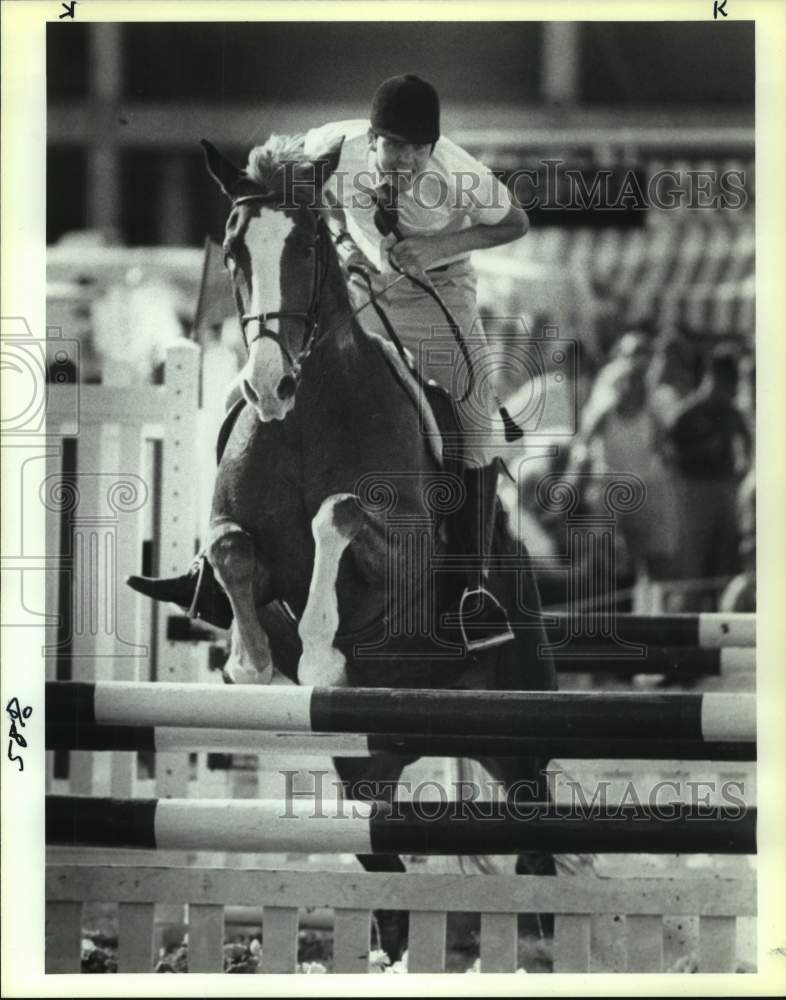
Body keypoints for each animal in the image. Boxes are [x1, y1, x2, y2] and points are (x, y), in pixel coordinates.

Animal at [199, 135, 560, 960]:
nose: (267, 385)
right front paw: (252, 663)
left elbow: (337, 514)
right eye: (234, 251)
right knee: (384, 853)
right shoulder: (228, 527)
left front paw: (320, 655)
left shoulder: (405, 552)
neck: (306, 413)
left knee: (534, 827)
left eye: (306, 247)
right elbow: (234, 551)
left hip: (518, 721)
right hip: (365, 760)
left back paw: (539, 937)